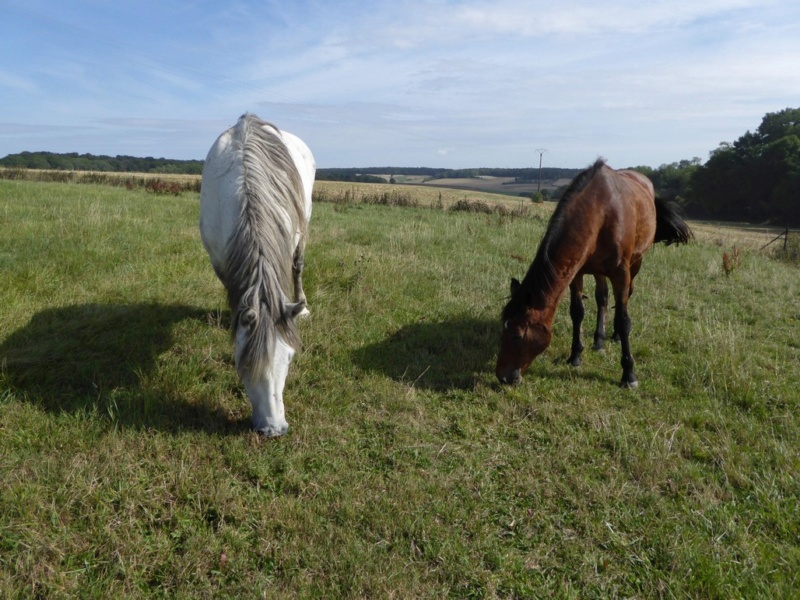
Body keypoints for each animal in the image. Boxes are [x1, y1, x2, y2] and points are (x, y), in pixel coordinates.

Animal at [496, 157, 692, 386]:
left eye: (517, 335)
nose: (503, 376)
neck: (602, 212)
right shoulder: (576, 272)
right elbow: (577, 312)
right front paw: (575, 356)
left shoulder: (620, 273)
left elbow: (623, 319)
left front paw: (629, 375)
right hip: (599, 270)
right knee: (602, 298)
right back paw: (599, 341)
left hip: (636, 263)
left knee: (625, 296)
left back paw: (614, 336)